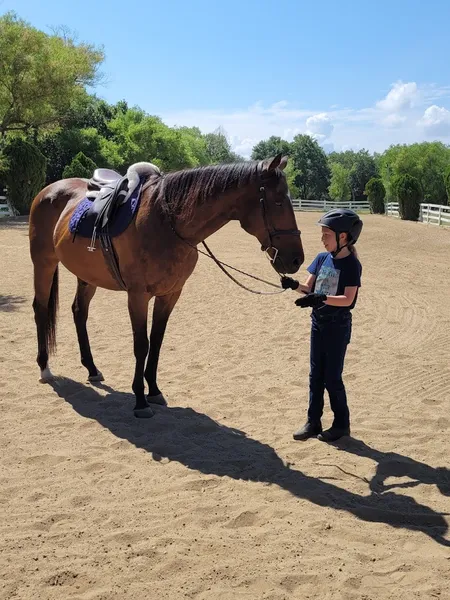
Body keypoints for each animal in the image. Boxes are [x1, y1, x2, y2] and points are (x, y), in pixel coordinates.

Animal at [29, 155, 306, 418]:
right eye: (278, 202)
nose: (296, 259)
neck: (165, 221)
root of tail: (49, 190)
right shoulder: (138, 296)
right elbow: (141, 344)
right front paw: (140, 401)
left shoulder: (170, 294)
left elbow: (157, 341)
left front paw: (153, 391)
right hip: (43, 264)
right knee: (40, 309)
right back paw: (44, 368)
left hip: (86, 276)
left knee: (79, 312)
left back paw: (91, 368)